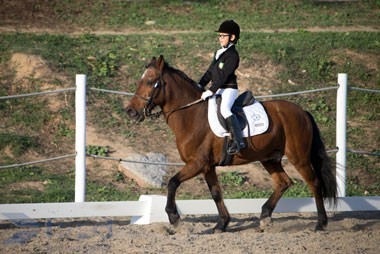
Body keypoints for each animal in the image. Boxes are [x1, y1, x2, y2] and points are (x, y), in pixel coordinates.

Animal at [126, 55, 336, 232]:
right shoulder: (207, 166)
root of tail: (302, 112)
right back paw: (265, 216)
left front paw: (174, 218)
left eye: (149, 82)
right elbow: (216, 193)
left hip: (298, 157)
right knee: (284, 182)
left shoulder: (197, 163)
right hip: (269, 158)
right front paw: (222, 224)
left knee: (314, 183)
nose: (130, 111)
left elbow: (172, 183)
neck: (192, 116)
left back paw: (321, 223)